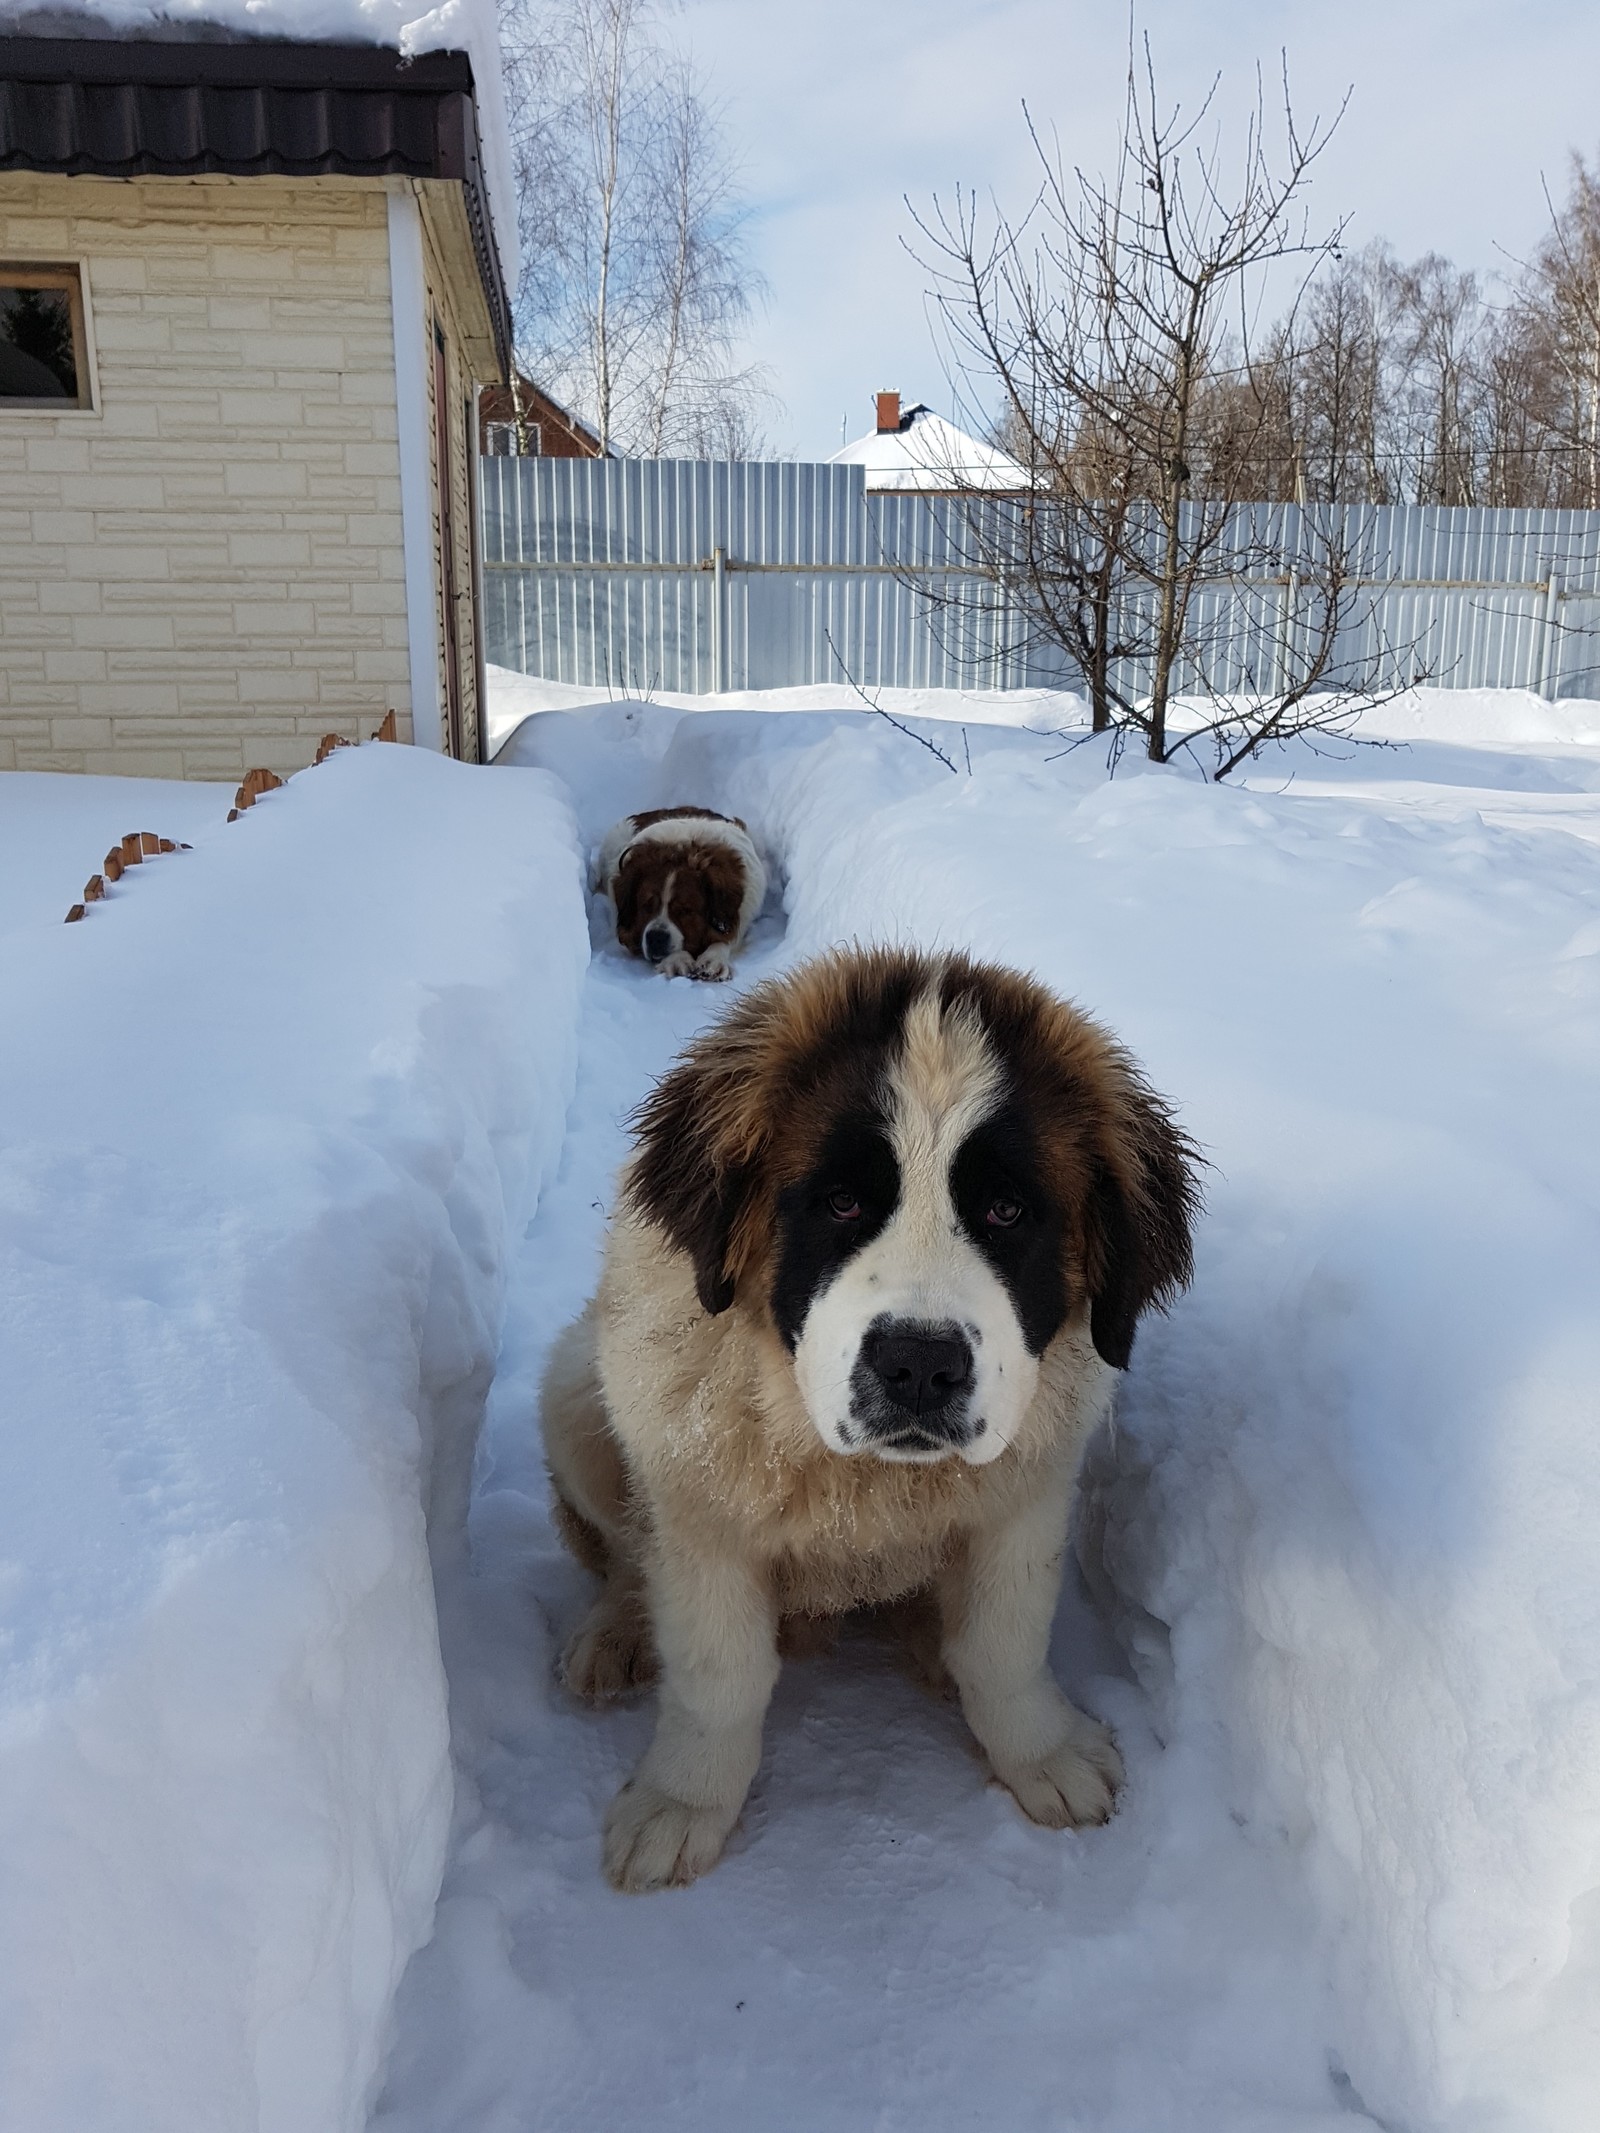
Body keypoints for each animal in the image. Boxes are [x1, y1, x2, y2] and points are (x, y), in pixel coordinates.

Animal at [546, 942, 1194, 1894]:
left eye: (1006, 1210)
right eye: (842, 1201)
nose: (919, 1364)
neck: (862, 1479)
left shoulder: (1022, 1503)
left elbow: (1003, 1644)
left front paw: (1039, 1752)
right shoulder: (700, 1515)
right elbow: (719, 1677)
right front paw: (683, 1801)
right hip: (577, 1397)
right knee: (625, 1553)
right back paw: (615, 1632)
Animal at [597, 806, 768, 981]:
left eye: (685, 910)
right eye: (646, 906)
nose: (656, 937)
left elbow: (725, 938)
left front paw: (714, 960)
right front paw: (676, 960)